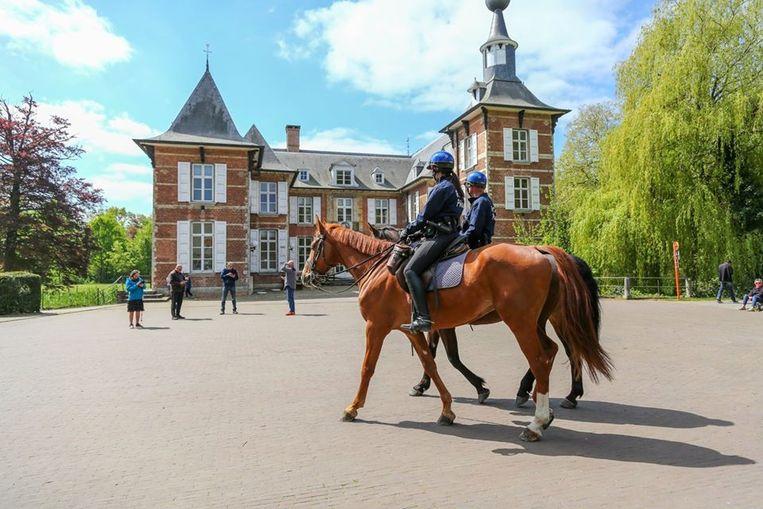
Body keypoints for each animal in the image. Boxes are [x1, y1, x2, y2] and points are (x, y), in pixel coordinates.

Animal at [368, 224, 586, 409]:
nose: (385, 268)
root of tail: (543, 253)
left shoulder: (440, 324)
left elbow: (449, 357)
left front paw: (479, 388)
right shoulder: (438, 324)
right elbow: (432, 352)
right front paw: (422, 384)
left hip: (538, 320)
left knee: (563, 350)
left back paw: (554, 394)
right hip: (540, 320)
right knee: (557, 349)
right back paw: (548, 392)